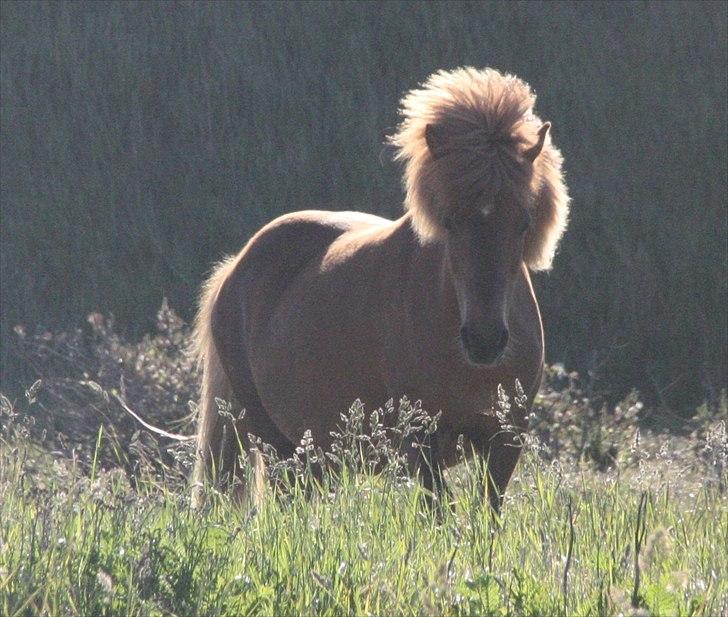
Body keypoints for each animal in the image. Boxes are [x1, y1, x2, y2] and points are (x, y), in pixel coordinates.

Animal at [192, 67, 568, 510]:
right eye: (449, 221)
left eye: (523, 222)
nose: (485, 340)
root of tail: (235, 268)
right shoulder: (420, 441)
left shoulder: (507, 441)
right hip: (282, 447)